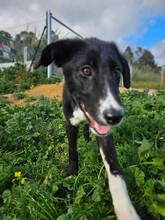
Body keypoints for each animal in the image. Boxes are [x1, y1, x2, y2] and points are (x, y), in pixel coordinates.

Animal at [36, 38, 140, 219]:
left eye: (116, 71)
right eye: (86, 70)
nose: (115, 117)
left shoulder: (105, 133)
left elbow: (113, 166)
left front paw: (126, 209)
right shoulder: (70, 124)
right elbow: (72, 152)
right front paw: (72, 174)